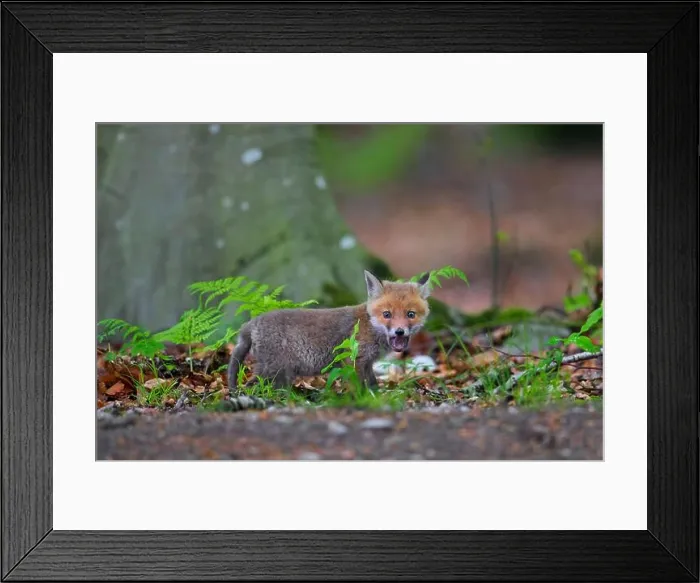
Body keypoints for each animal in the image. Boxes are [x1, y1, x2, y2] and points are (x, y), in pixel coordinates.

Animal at [228, 270, 432, 391]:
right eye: (387, 314)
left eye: (410, 314)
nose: (399, 332)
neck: (369, 325)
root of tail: (250, 323)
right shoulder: (353, 358)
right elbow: (357, 386)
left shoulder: (367, 363)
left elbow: (372, 383)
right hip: (273, 369)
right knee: (254, 384)